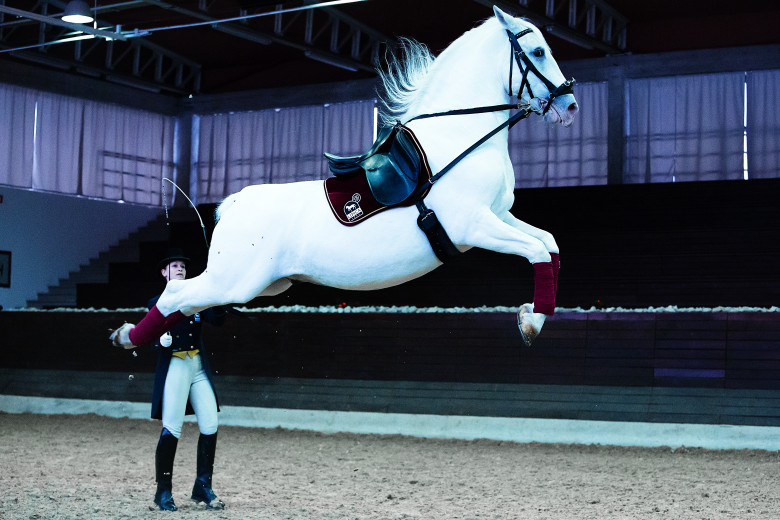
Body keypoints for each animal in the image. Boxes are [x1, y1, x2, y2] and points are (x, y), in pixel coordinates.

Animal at [114, 5, 580, 350]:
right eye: (538, 52)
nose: (570, 105)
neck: (458, 136)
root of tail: (231, 205)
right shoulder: (475, 225)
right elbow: (535, 251)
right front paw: (532, 323)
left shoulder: (500, 216)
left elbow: (549, 244)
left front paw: (532, 316)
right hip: (236, 282)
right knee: (176, 295)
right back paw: (127, 337)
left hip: (263, 286)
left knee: (185, 302)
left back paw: (128, 337)